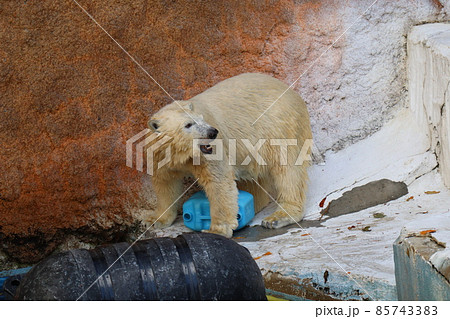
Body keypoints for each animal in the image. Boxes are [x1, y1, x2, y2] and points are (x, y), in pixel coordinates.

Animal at [146, 72, 312, 238]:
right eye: (188, 124)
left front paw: (216, 230)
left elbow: (218, 182)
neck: (181, 153)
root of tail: (292, 92)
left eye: (201, 119)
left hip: (279, 124)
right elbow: (165, 183)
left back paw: (278, 217)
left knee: (287, 169)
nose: (212, 132)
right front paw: (155, 220)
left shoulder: (211, 152)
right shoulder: (158, 154)